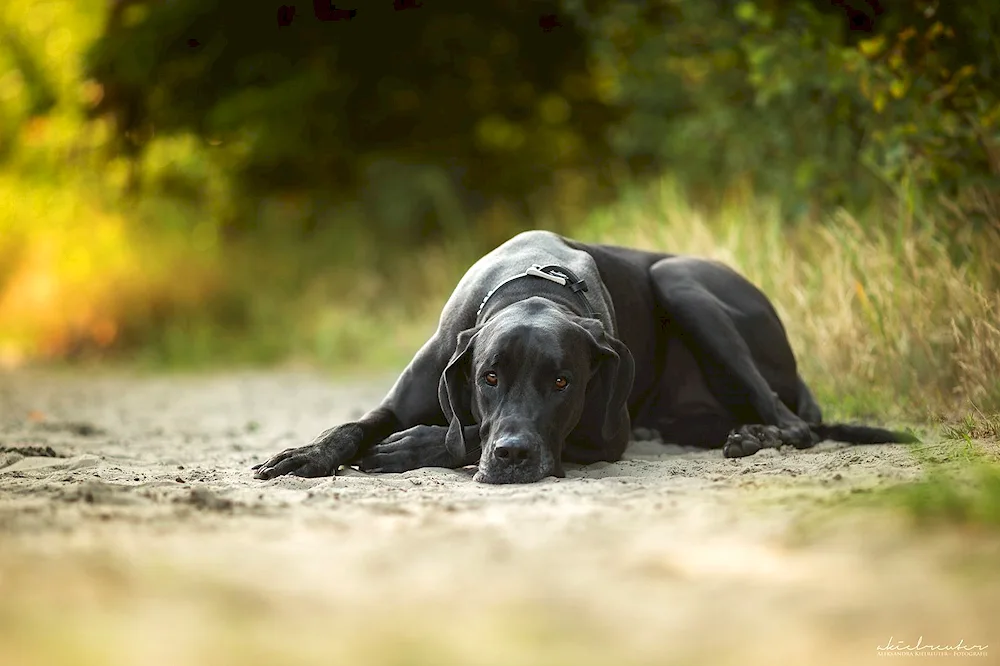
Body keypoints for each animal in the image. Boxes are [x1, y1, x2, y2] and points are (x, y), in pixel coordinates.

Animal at [254, 228, 916, 482]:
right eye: (488, 377)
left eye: (563, 383)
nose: (514, 457)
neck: (534, 284)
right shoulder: (408, 392)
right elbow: (354, 426)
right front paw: (305, 453)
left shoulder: (605, 435)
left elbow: (456, 435)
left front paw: (416, 445)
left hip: (682, 281)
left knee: (797, 424)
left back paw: (759, 434)